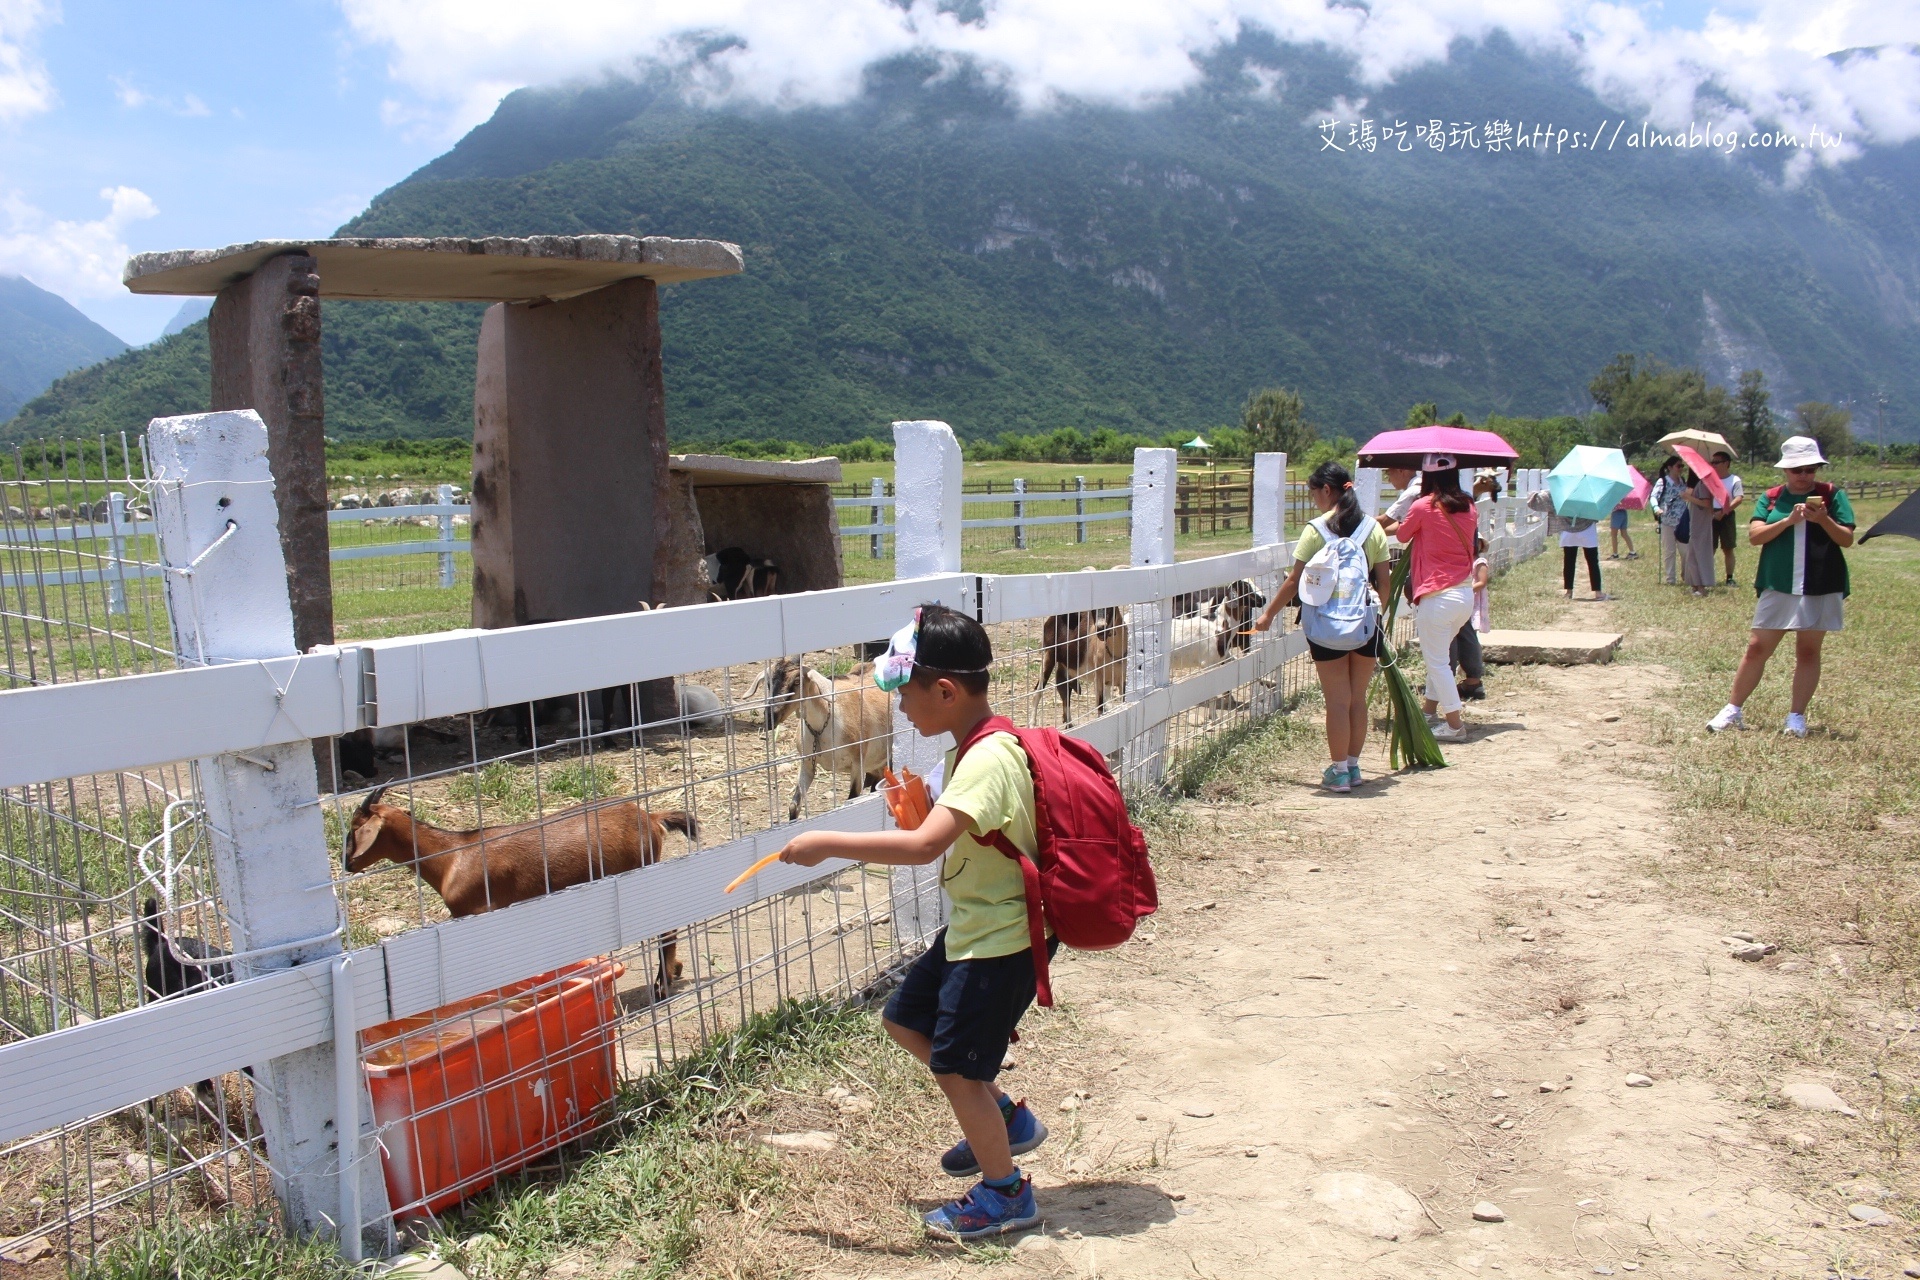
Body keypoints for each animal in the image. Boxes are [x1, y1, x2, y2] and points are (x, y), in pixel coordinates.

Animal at [345, 790, 698, 997]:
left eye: (353, 829)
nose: (347, 863)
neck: (451, 857)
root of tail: (650, 818)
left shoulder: (476, 913)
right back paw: (675, 971)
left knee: (666, 928)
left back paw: (663, 984)